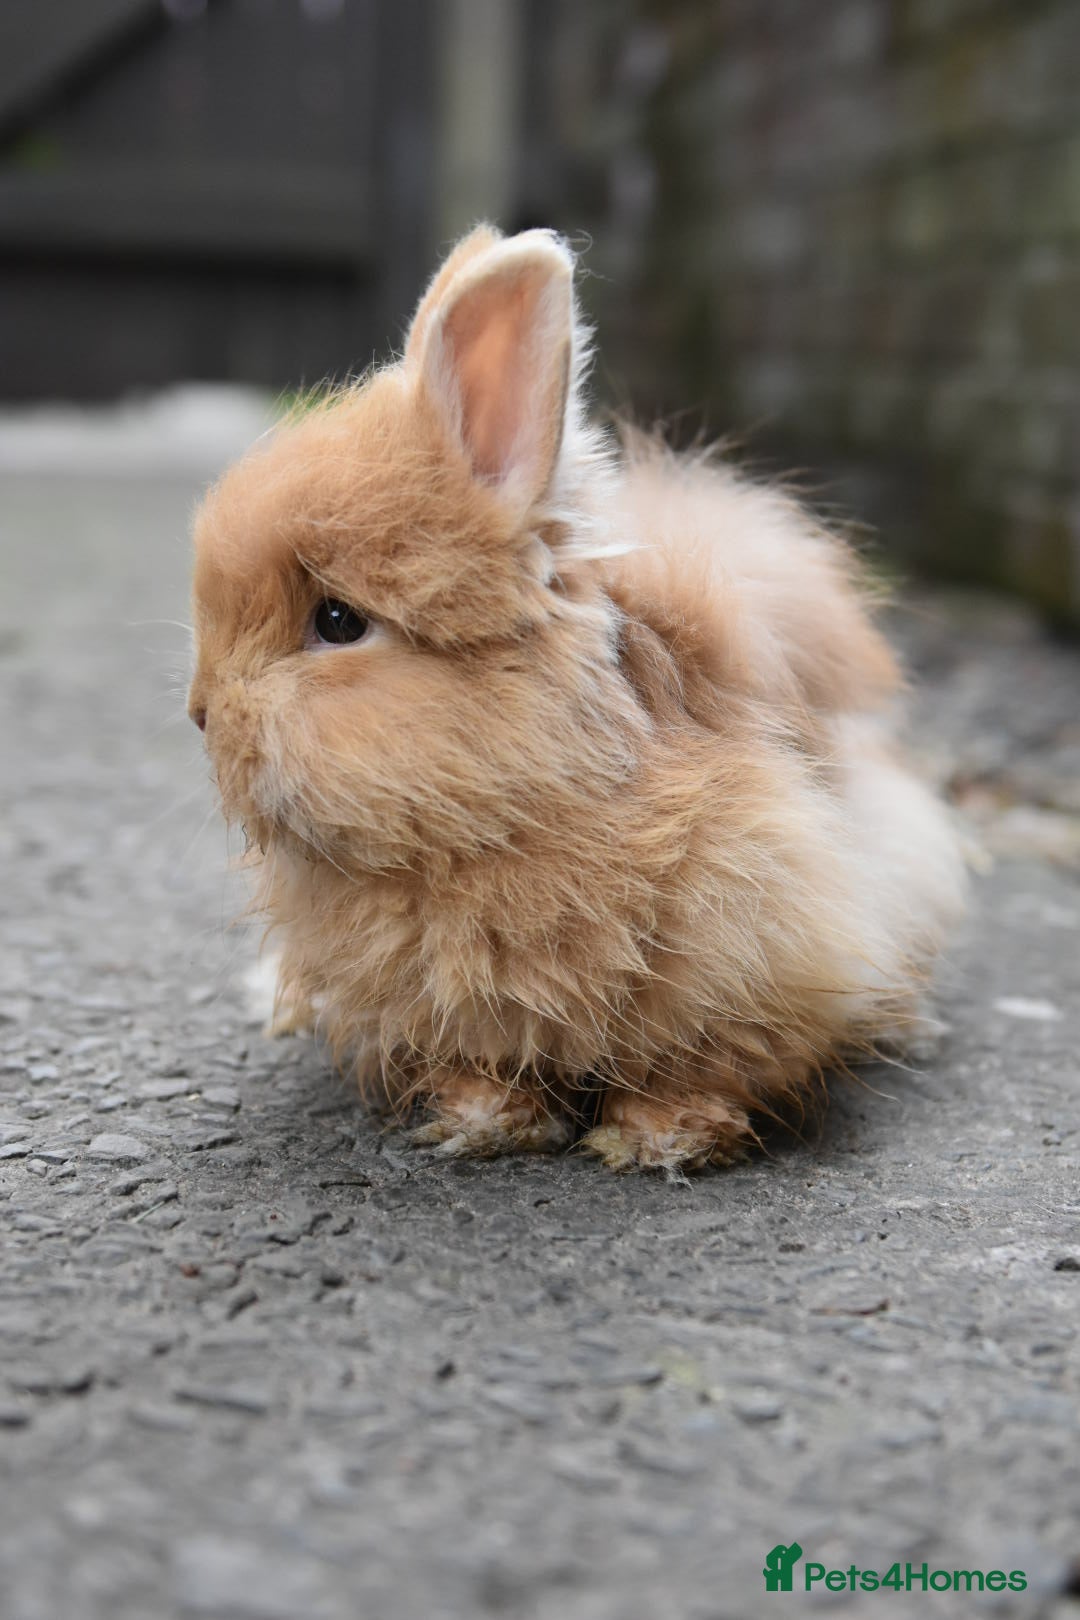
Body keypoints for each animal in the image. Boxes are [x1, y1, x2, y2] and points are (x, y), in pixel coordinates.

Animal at [188, 224, 965, 1172]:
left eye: (337, 621)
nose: (199, 711)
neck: (512, 815)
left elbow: (706, 1063)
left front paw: (658, 1139)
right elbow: (477, 1062)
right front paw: (483, 1122)